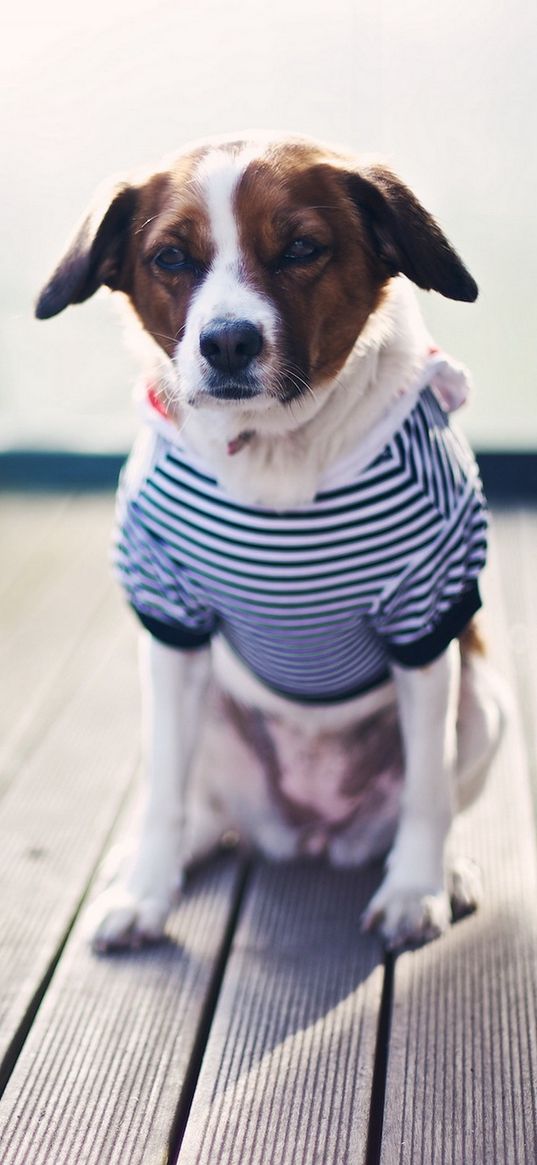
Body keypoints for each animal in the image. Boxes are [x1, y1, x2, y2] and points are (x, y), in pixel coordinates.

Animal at [35, 132, 505, 950]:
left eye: (301, 248)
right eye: (170, 257)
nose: (227, 342)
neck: (274, 452)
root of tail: (311, 831)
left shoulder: (427, 618)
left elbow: (428, 788)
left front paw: (414, 890)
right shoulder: (170, 622)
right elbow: (163, 792)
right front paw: (145, 892)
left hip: (484, 700)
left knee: (436, 786)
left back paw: (442, 871)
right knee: (195, 799)